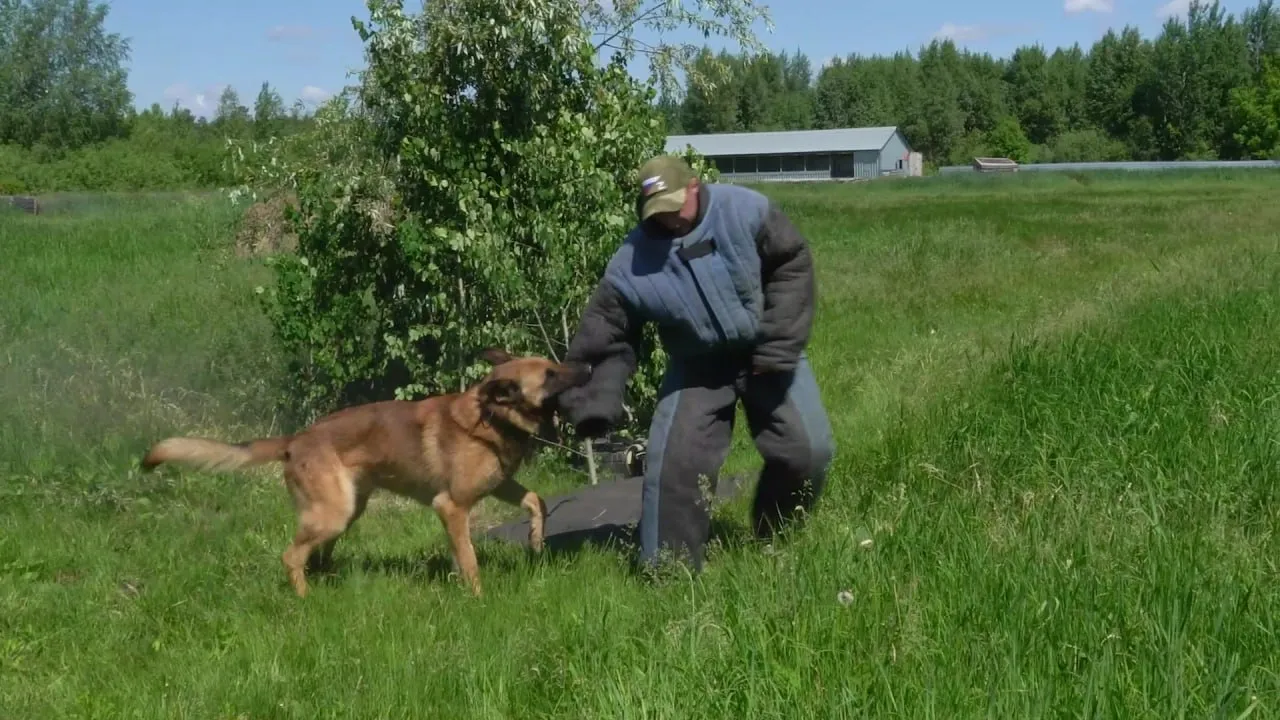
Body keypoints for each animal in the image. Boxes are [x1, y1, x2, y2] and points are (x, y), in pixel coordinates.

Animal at [142, 348, 591, 594]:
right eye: (551, 374)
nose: (587, 368)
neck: (491, 418)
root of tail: (295, 439)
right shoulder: (452, 506)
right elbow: (469, 559)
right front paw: (477, 598)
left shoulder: (498, 486)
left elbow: (536, 501)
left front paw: (535, 541)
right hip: (334, 513)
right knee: (291, 556)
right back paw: (305, 600)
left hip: (346, 510)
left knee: (315, 554)